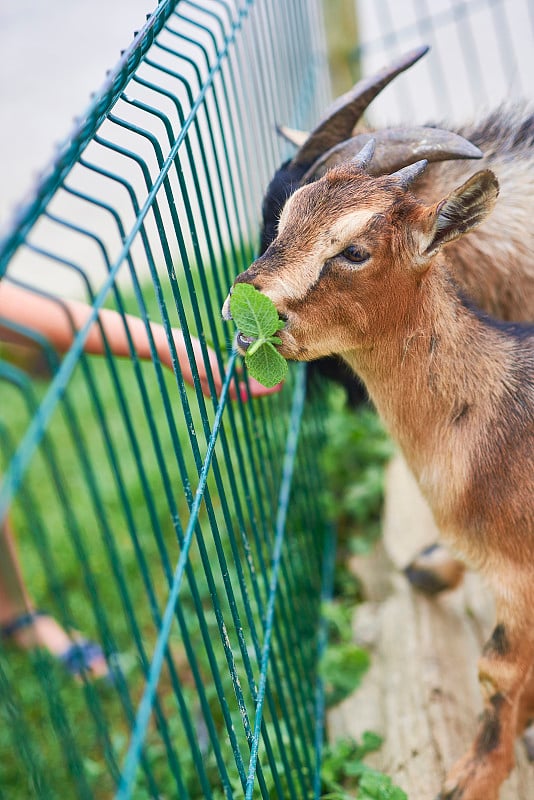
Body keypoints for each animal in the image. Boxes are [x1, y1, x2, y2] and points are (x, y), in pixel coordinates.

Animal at [226, 145, 534, 800]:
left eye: (354, 252)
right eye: (288, 215)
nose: (242, 307)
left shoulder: (520, 574)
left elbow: (495, 671)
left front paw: (471, 777)